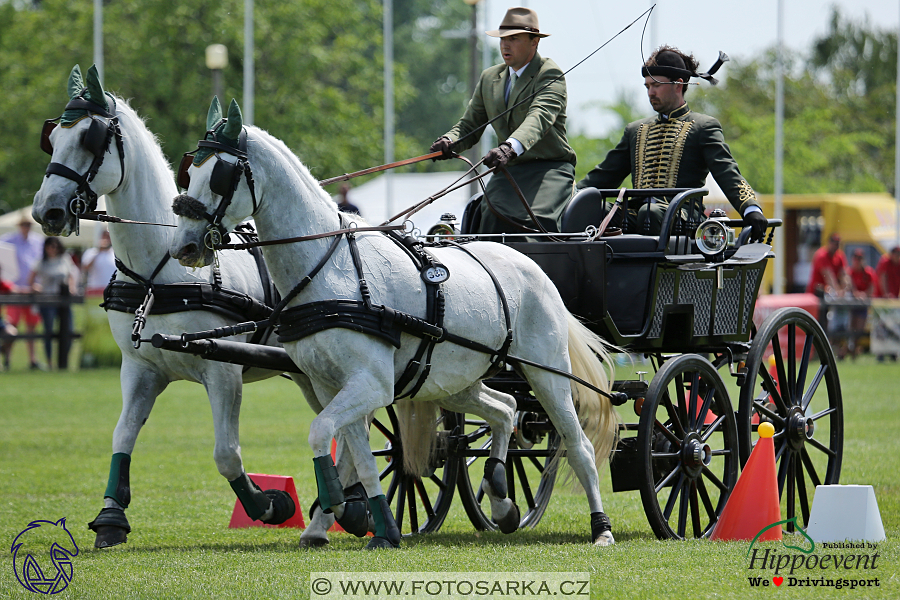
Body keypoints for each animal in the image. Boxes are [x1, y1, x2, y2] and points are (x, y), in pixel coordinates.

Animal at [31, 64, 350, 548]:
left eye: (90, 138)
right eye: (53, 137)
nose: (46, 212)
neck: (158, 274)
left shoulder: (223, 373)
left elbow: (226, 453)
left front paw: (270, 505)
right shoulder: (140, 368)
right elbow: (122, 435)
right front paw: (110, 517)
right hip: (310, 376)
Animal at [167, 98, 620, 548]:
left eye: (220, 175)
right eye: (190, 170)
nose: (183, 247)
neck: (331, 269)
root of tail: (530, 263)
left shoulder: (370, 383)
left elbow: (320, 432)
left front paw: (342, 509)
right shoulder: (333, 385)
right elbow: (359, 457)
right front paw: (373, 524)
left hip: (548, 373)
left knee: (577, 444)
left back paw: (600, 527)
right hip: (453, 381)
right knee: (505, 408)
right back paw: (500, 498)